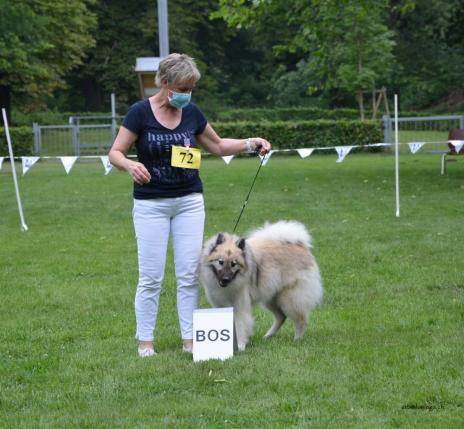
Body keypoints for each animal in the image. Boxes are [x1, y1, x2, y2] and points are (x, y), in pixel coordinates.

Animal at [199, 221, 322, 352]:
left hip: (289, 299)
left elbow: (240, 326)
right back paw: (268, 336)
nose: (225, 279)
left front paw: (240, 346)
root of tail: (300, 244)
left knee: (301, 320)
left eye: (234, 264)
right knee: (281, 317)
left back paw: (297, 339)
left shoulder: (240, 307)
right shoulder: (220, 306)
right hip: (271, 298)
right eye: (220, 262)